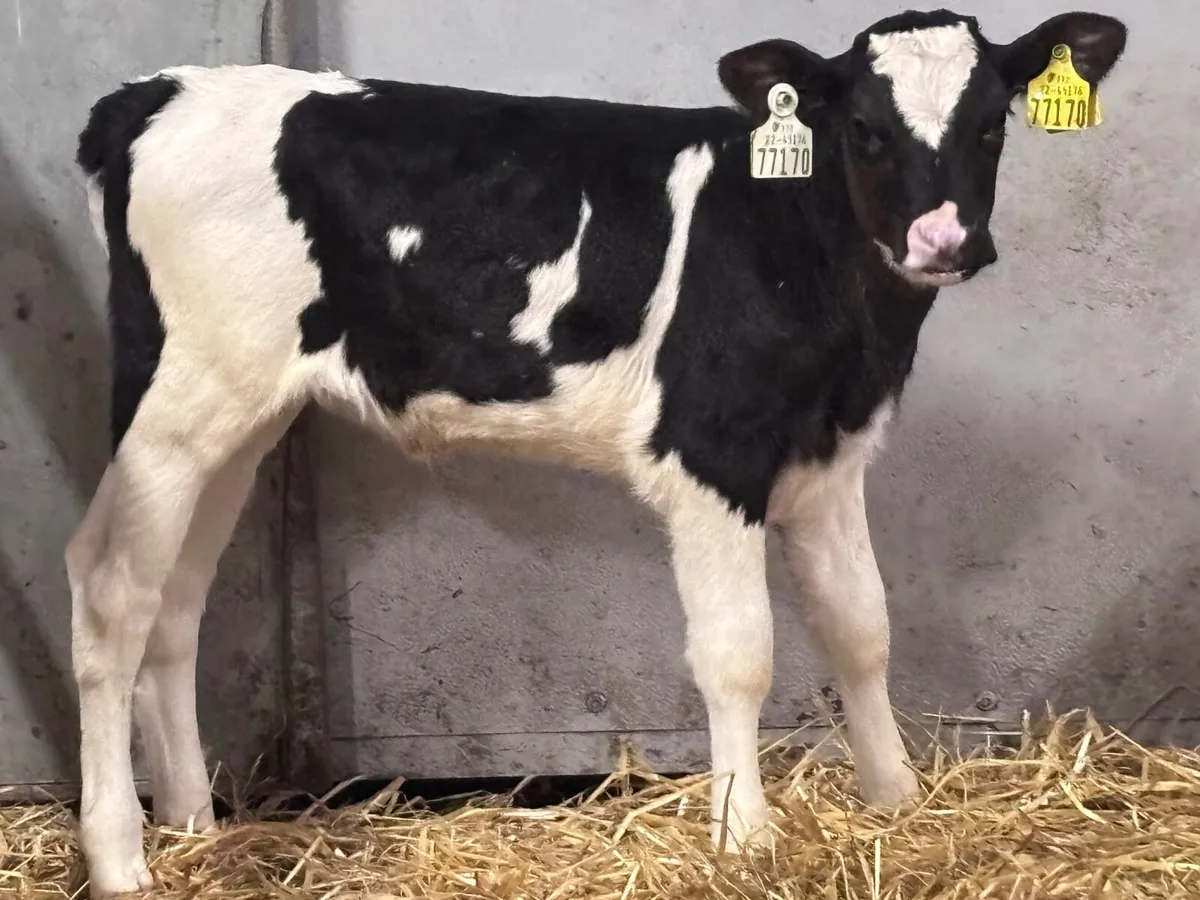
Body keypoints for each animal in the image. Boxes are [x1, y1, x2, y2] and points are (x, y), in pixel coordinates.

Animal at [68, 8, 1126, 895]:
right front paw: (744, 837)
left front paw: (896, 802)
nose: (944, 240)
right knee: (112, 585)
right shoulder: (711, 453)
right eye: (864, 128)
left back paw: (195, 825)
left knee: (175, 601)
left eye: (991, 124)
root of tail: (152, 94)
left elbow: (862, 628)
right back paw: (121, 856)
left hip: (244, 415)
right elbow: (740, 653)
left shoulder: (829, 458)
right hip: (180, 398)